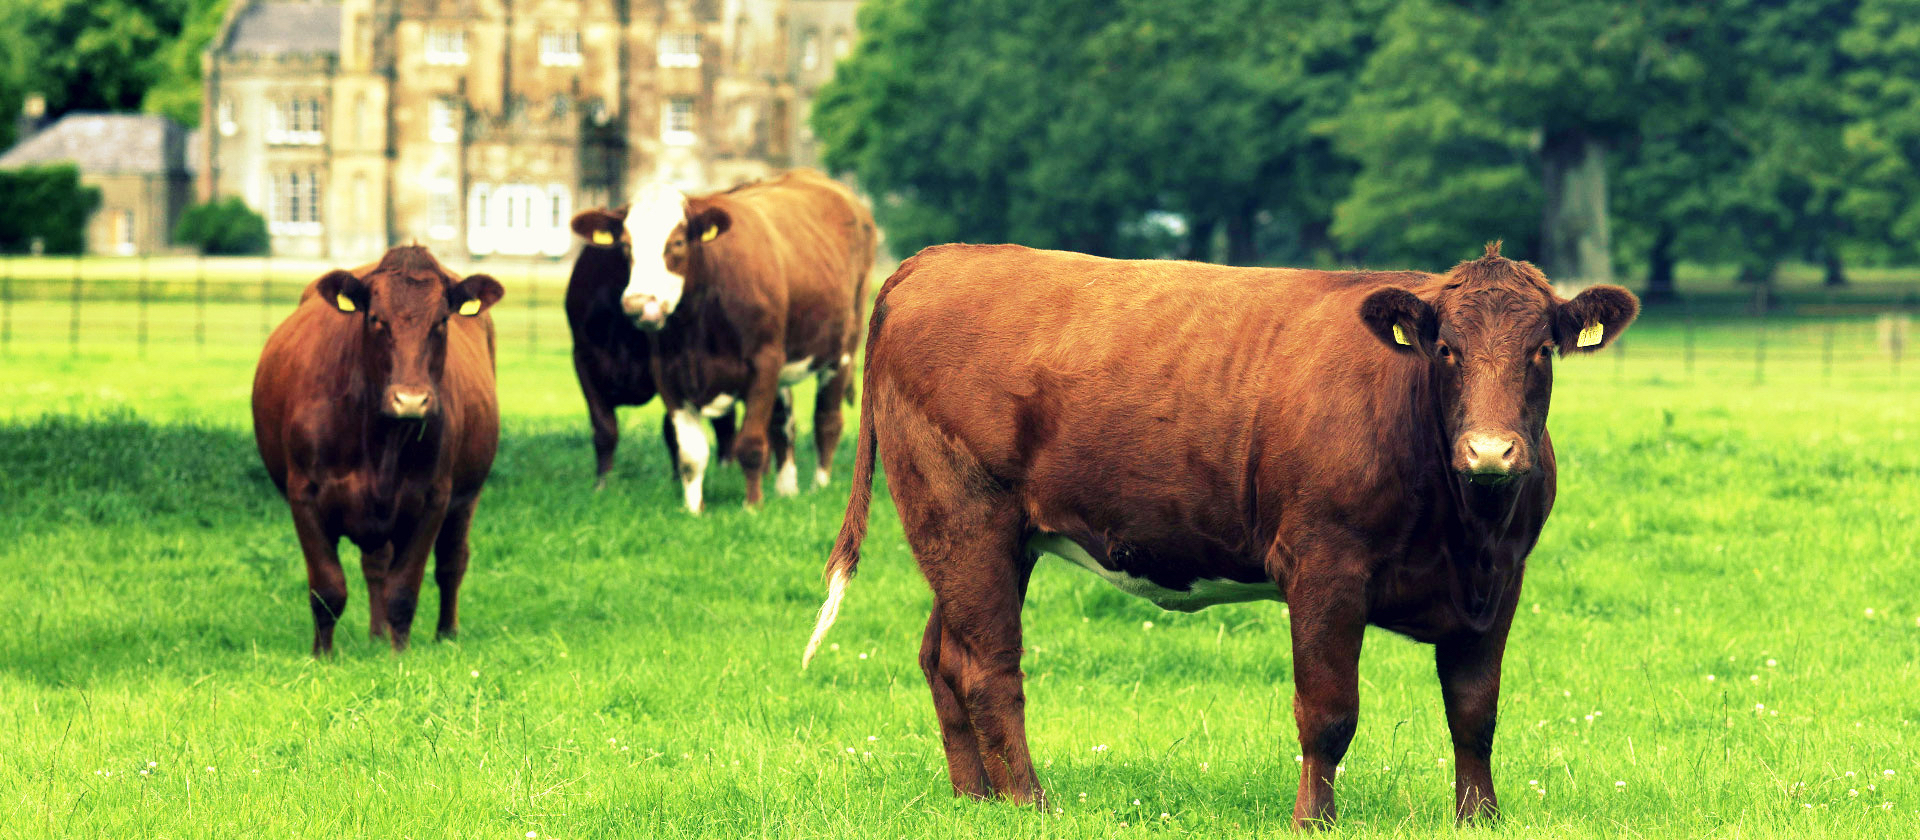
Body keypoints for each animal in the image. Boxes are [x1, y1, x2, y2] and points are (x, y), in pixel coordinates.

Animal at [252, 245, 504, 657]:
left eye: (441, 321)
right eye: (375, 319)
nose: (411, 400)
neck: (380, 440)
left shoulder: (433, 498)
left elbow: (403, 591)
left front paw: (399, 655)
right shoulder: (303, 493)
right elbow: (328, 589)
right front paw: (322, 656)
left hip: (468, 495)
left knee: (451, 562)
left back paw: (445, 635)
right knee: (376, 564)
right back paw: (375, 634)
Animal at [563, 218, 737, 491]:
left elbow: (673, 430)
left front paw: (678, 481)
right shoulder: (583, 358)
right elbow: (604, 428)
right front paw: (602, 485)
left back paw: (728, 468)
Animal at [802, 242, 1638, 828]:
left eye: (1541, 350)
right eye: (1446, 350)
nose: (1490, 452)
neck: (1463, 526)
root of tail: (938, 259)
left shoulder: (1499, 581)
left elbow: (1474, 711)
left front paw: (1479, 819)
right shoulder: (1324, 566)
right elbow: (1328, 711)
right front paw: (1314, 821)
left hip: (980, 542)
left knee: (943, 656)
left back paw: (975, 802)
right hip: (965, 515)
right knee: (988, 669)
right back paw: (1031, 805)